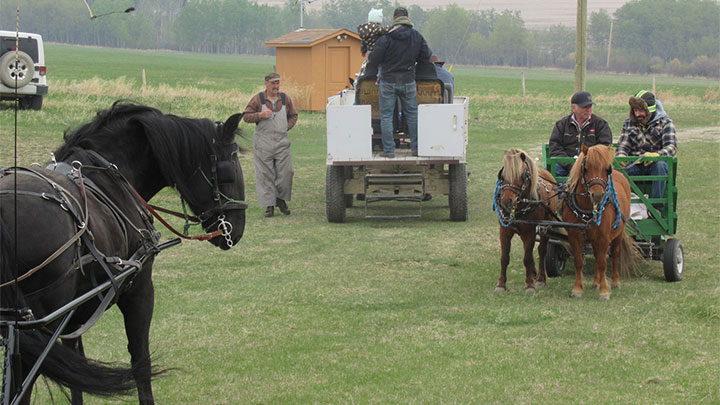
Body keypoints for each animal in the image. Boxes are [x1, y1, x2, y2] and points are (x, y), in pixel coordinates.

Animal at [0, 100, 248, 400]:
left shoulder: (75, 316)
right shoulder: (139, 290)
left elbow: (77, 372)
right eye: (230, 166)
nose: (237, 228)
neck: (107, 176)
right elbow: (141, 360)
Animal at [492, 148, 560, 290]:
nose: (506, 201)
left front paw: (529, 285)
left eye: (521, 175)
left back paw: (540, 278)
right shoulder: (504, 230)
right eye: (502, 175)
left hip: (545, 226)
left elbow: (527, 257)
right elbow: (504, 257)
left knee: (542, 250)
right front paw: (501, 284)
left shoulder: (530, 231)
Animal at [564, 144, 640, 298]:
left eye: (607, 169)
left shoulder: (604, 237)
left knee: (614, 255)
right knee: (596, 255)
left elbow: (602, 262)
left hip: (618, 234)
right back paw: (595, 283)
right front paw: (577, 289)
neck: (587, 209)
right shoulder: (574, 236)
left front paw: (604, 291)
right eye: (586, 168)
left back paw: (614, 282)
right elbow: (579, 262)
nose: (598, 195)